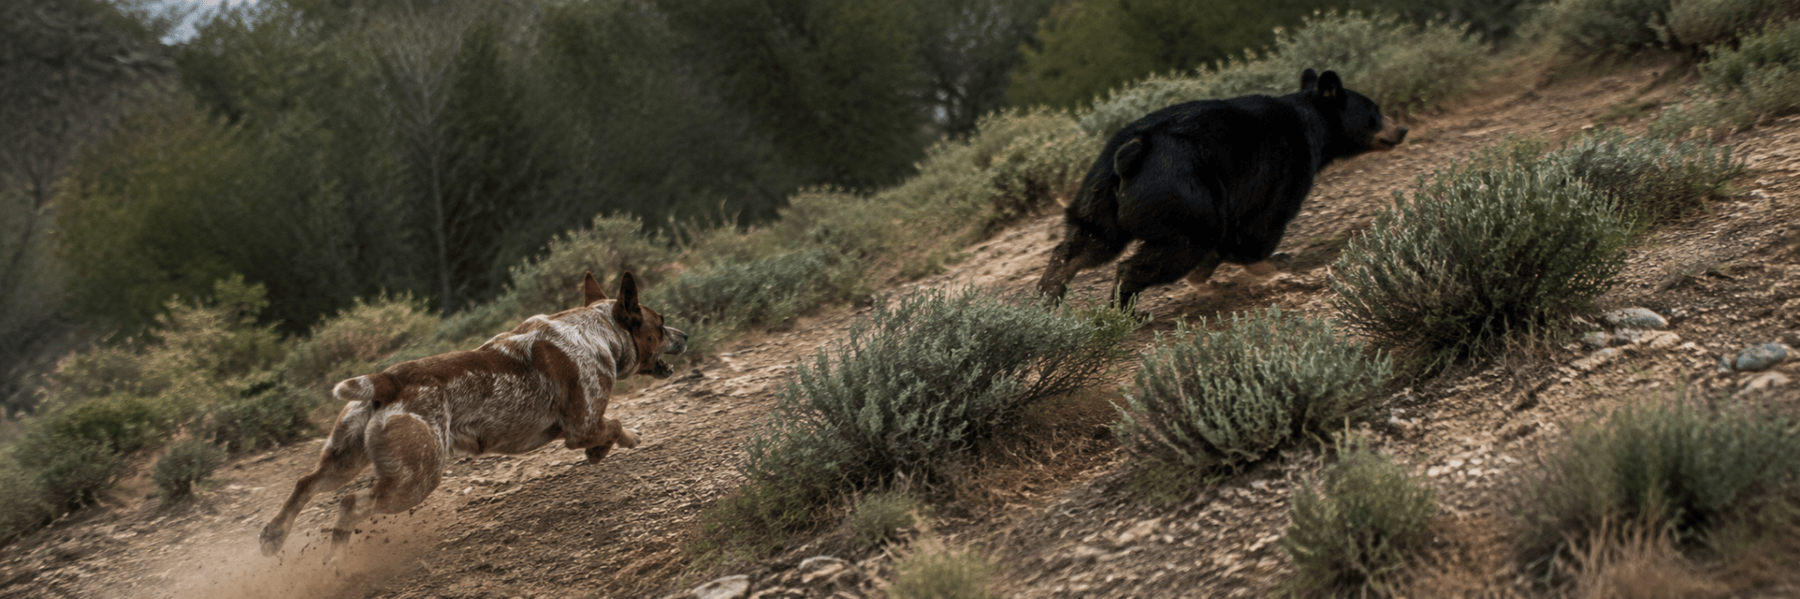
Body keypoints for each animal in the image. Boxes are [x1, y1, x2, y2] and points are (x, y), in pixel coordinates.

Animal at [1036, 69, 1407, 310]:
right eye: (1375, 112)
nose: (1401, 129)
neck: (1311, 123)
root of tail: (1132, 154)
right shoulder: (1283, 168)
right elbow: (1259, 228)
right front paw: (1276, 269)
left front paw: (1206, 279)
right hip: (1181, 195)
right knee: (1184, 244)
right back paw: (1123, 306)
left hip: (1102, 196)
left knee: (1089, 241)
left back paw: (1049, 294)